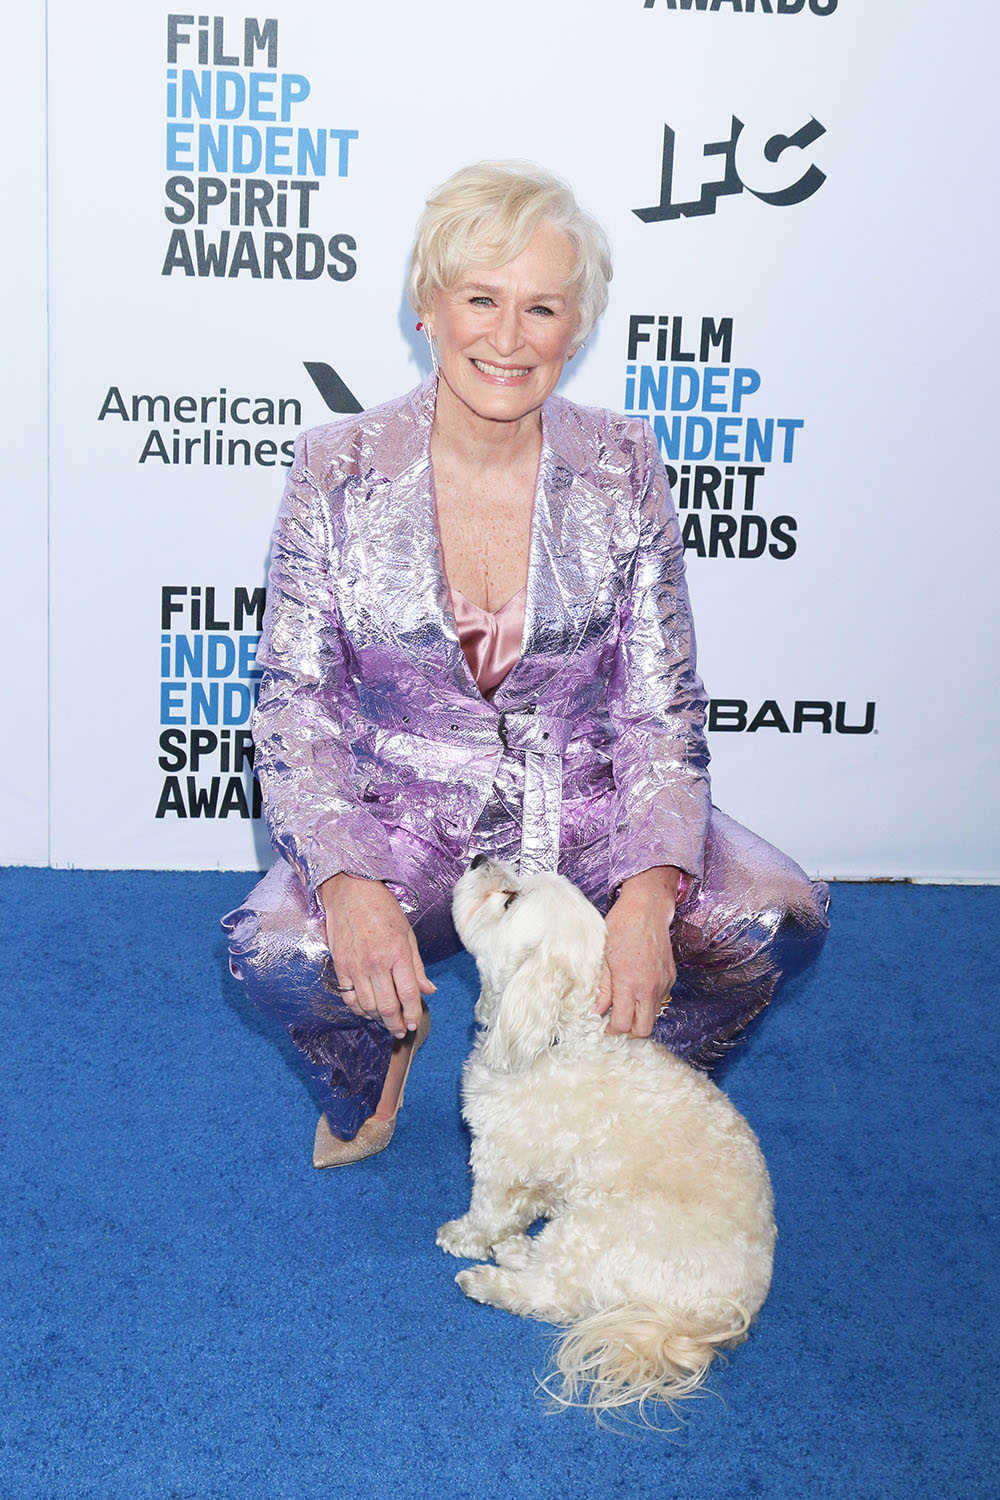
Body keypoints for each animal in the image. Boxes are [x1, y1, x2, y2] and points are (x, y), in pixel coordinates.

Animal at [440, 864, 779, 1422]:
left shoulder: (499, 1159)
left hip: (601, 1227)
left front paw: (464, 1236)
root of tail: (702, 1322)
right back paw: (515, 1250)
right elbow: (522, 1206)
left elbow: (487, 1212)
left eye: (508, 899)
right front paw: (505, 1233)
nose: (479, 857)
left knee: (554, 1296)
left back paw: (488, 1281)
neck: (557, 1037)